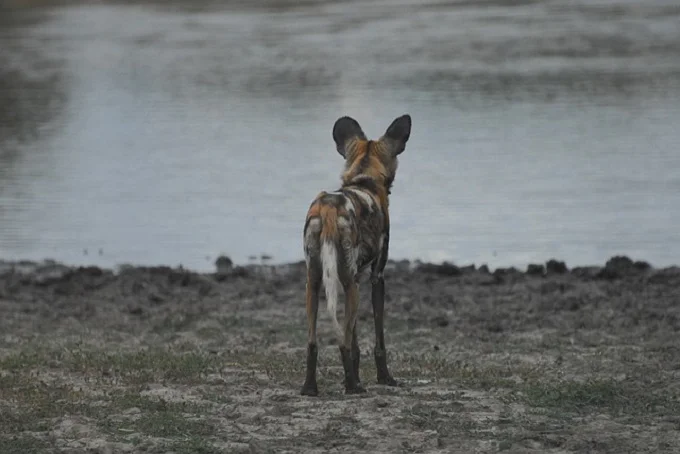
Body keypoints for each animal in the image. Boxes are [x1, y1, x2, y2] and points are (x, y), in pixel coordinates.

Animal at [300, 112, 412, 394]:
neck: (364, 179)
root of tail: (328, 208)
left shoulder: (357, 278)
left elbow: (355, 342)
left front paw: (358, 375)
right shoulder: (375, 278)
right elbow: (377, 340)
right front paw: (384, 378)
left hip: (315, 284)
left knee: (313, 342)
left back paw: (310, 387)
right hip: (350, 287)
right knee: (341, 341)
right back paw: (353, 388)